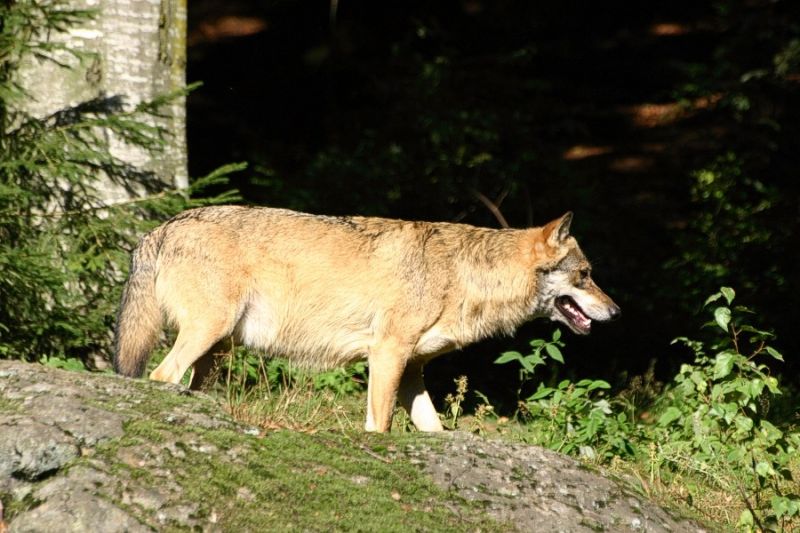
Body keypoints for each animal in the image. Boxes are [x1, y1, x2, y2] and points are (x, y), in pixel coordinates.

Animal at [114, 206, 620, 432]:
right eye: (586, 275)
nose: (616, 311)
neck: (463, 274)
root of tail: (163, 226)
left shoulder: (412, 371)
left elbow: (432, 429)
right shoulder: (386, 355)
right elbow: (380, 426)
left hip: (216, 351)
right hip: (207, 334)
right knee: (160, 376)